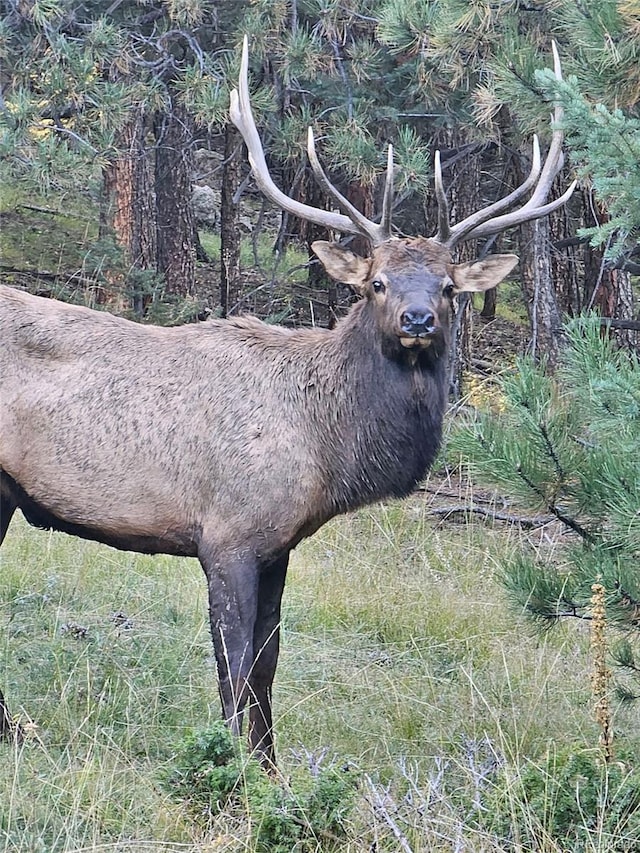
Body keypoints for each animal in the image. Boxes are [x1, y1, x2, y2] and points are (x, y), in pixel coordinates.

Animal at [0, 38, 568, 764]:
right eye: (376, 283)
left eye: (447, 286)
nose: (417, 320)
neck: (325, 447)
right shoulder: (227, 533)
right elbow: (235, 663)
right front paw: (232, 763)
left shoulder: (279, 544)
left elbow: (267, 662)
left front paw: (271, 767)